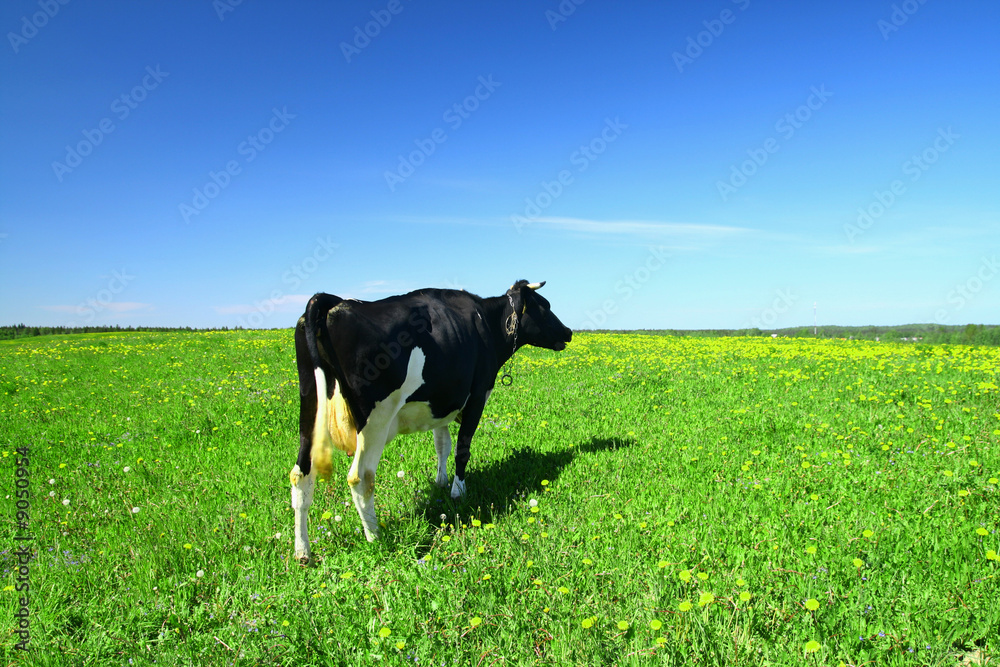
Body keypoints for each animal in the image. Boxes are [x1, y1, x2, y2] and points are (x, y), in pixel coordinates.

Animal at [288, 280, 572, 564]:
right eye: (544, 306)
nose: (568, 332)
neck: (486, 323)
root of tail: (333, 301)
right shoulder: (477, 397)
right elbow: (462, 450)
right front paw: (458, 491)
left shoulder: (442, 404)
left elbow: (442, 446)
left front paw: (440, 482)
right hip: (375, 420)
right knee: (360, 477)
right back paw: (376, 537)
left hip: (310, 411)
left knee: (301, 475)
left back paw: (303, 551)